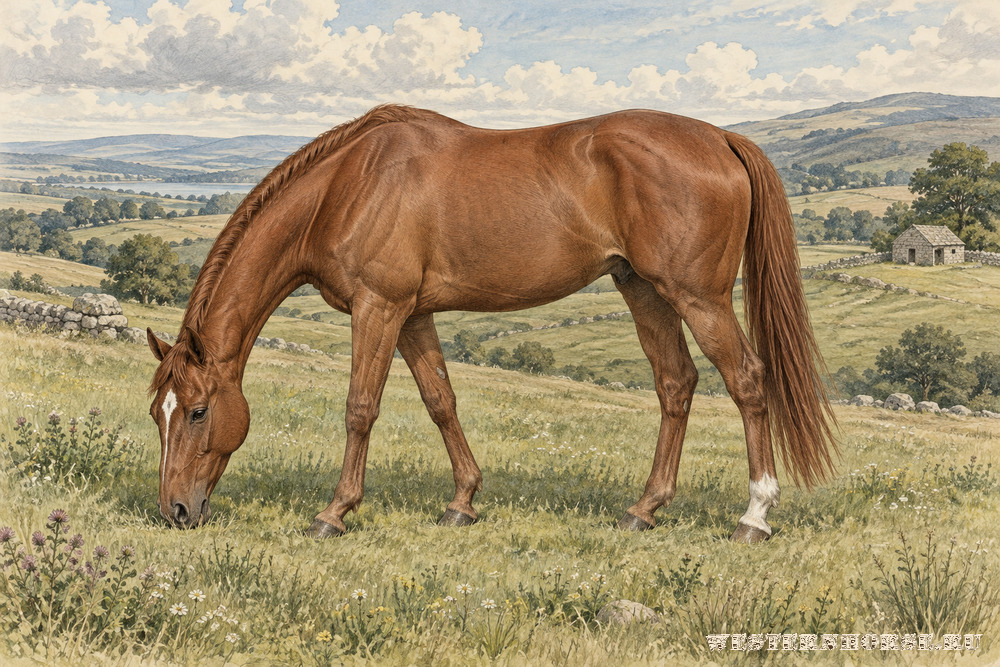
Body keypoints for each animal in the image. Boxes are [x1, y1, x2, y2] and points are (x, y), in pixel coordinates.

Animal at [146, 104, 837, 544]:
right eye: (159, 412)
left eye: (199, 411)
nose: (175, 511)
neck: (347, 185)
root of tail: (721, 138)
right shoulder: (413, 315)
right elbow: (441, 401)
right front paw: (463, 502)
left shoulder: (380, 307)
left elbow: (360, 408)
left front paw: (335, 512)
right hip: (644, 289)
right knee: (676, 384)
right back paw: (644, 509)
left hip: (699, 297)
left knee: (747, 380)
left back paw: (754, 516)